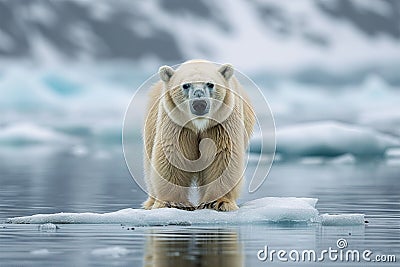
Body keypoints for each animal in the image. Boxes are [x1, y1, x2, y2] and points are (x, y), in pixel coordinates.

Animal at [144, 59, 255, 213]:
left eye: (210, 84)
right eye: (186, 85)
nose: (199, 104)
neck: (199, 123)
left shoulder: (221, 122)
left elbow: (223, 157)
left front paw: (218, 202)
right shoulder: (176, 122)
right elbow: (172, 157)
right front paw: (174, 203)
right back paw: (150, 203)